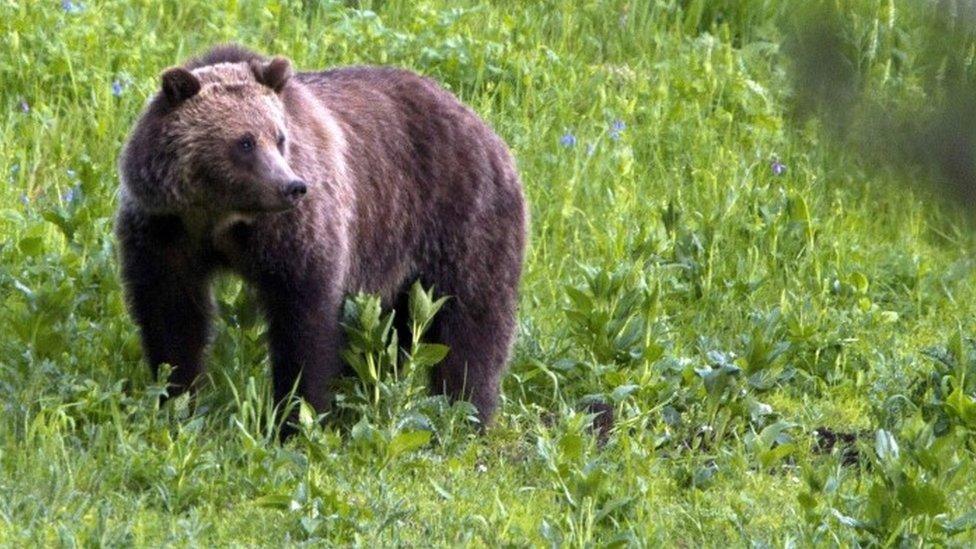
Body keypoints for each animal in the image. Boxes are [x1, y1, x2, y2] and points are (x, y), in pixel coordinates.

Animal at [116, 45, 528, 430]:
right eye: (245, 142)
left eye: (279, 137)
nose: (292, 186)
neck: (221, 218)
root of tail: (485, 127)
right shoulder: (165, 231)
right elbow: (172, 315)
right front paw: (176, 399)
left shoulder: (295, 234)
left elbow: (304, 321)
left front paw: (296, 416)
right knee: (394, 331)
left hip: (460, 220)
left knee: (471, 323)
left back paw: (466, 412)